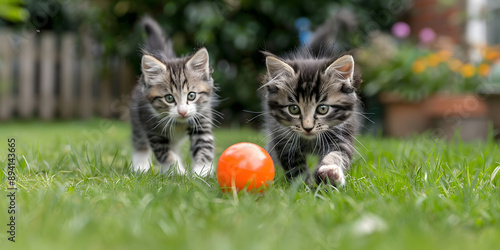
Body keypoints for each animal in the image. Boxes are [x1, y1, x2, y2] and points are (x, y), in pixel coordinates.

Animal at [130, 16, 216, 176]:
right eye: (169, 98)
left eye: (192, 95)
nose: (182, 112)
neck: (179, 123)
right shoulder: (152, 128)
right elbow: (165, 153)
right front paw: (177, 172)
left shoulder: (202, 119)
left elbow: (205, 146)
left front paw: (201, 171)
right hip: (137, 118)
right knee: (140, 142)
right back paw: (140, 165)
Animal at [260, 47, 362, 187]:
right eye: (294, 109)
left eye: (323, 109)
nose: (307, 128)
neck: (310, 141)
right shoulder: (283, 139)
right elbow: (295, 166)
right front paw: (303, 185)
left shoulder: (342, 135)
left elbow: (337, 154)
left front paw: (329, 173)